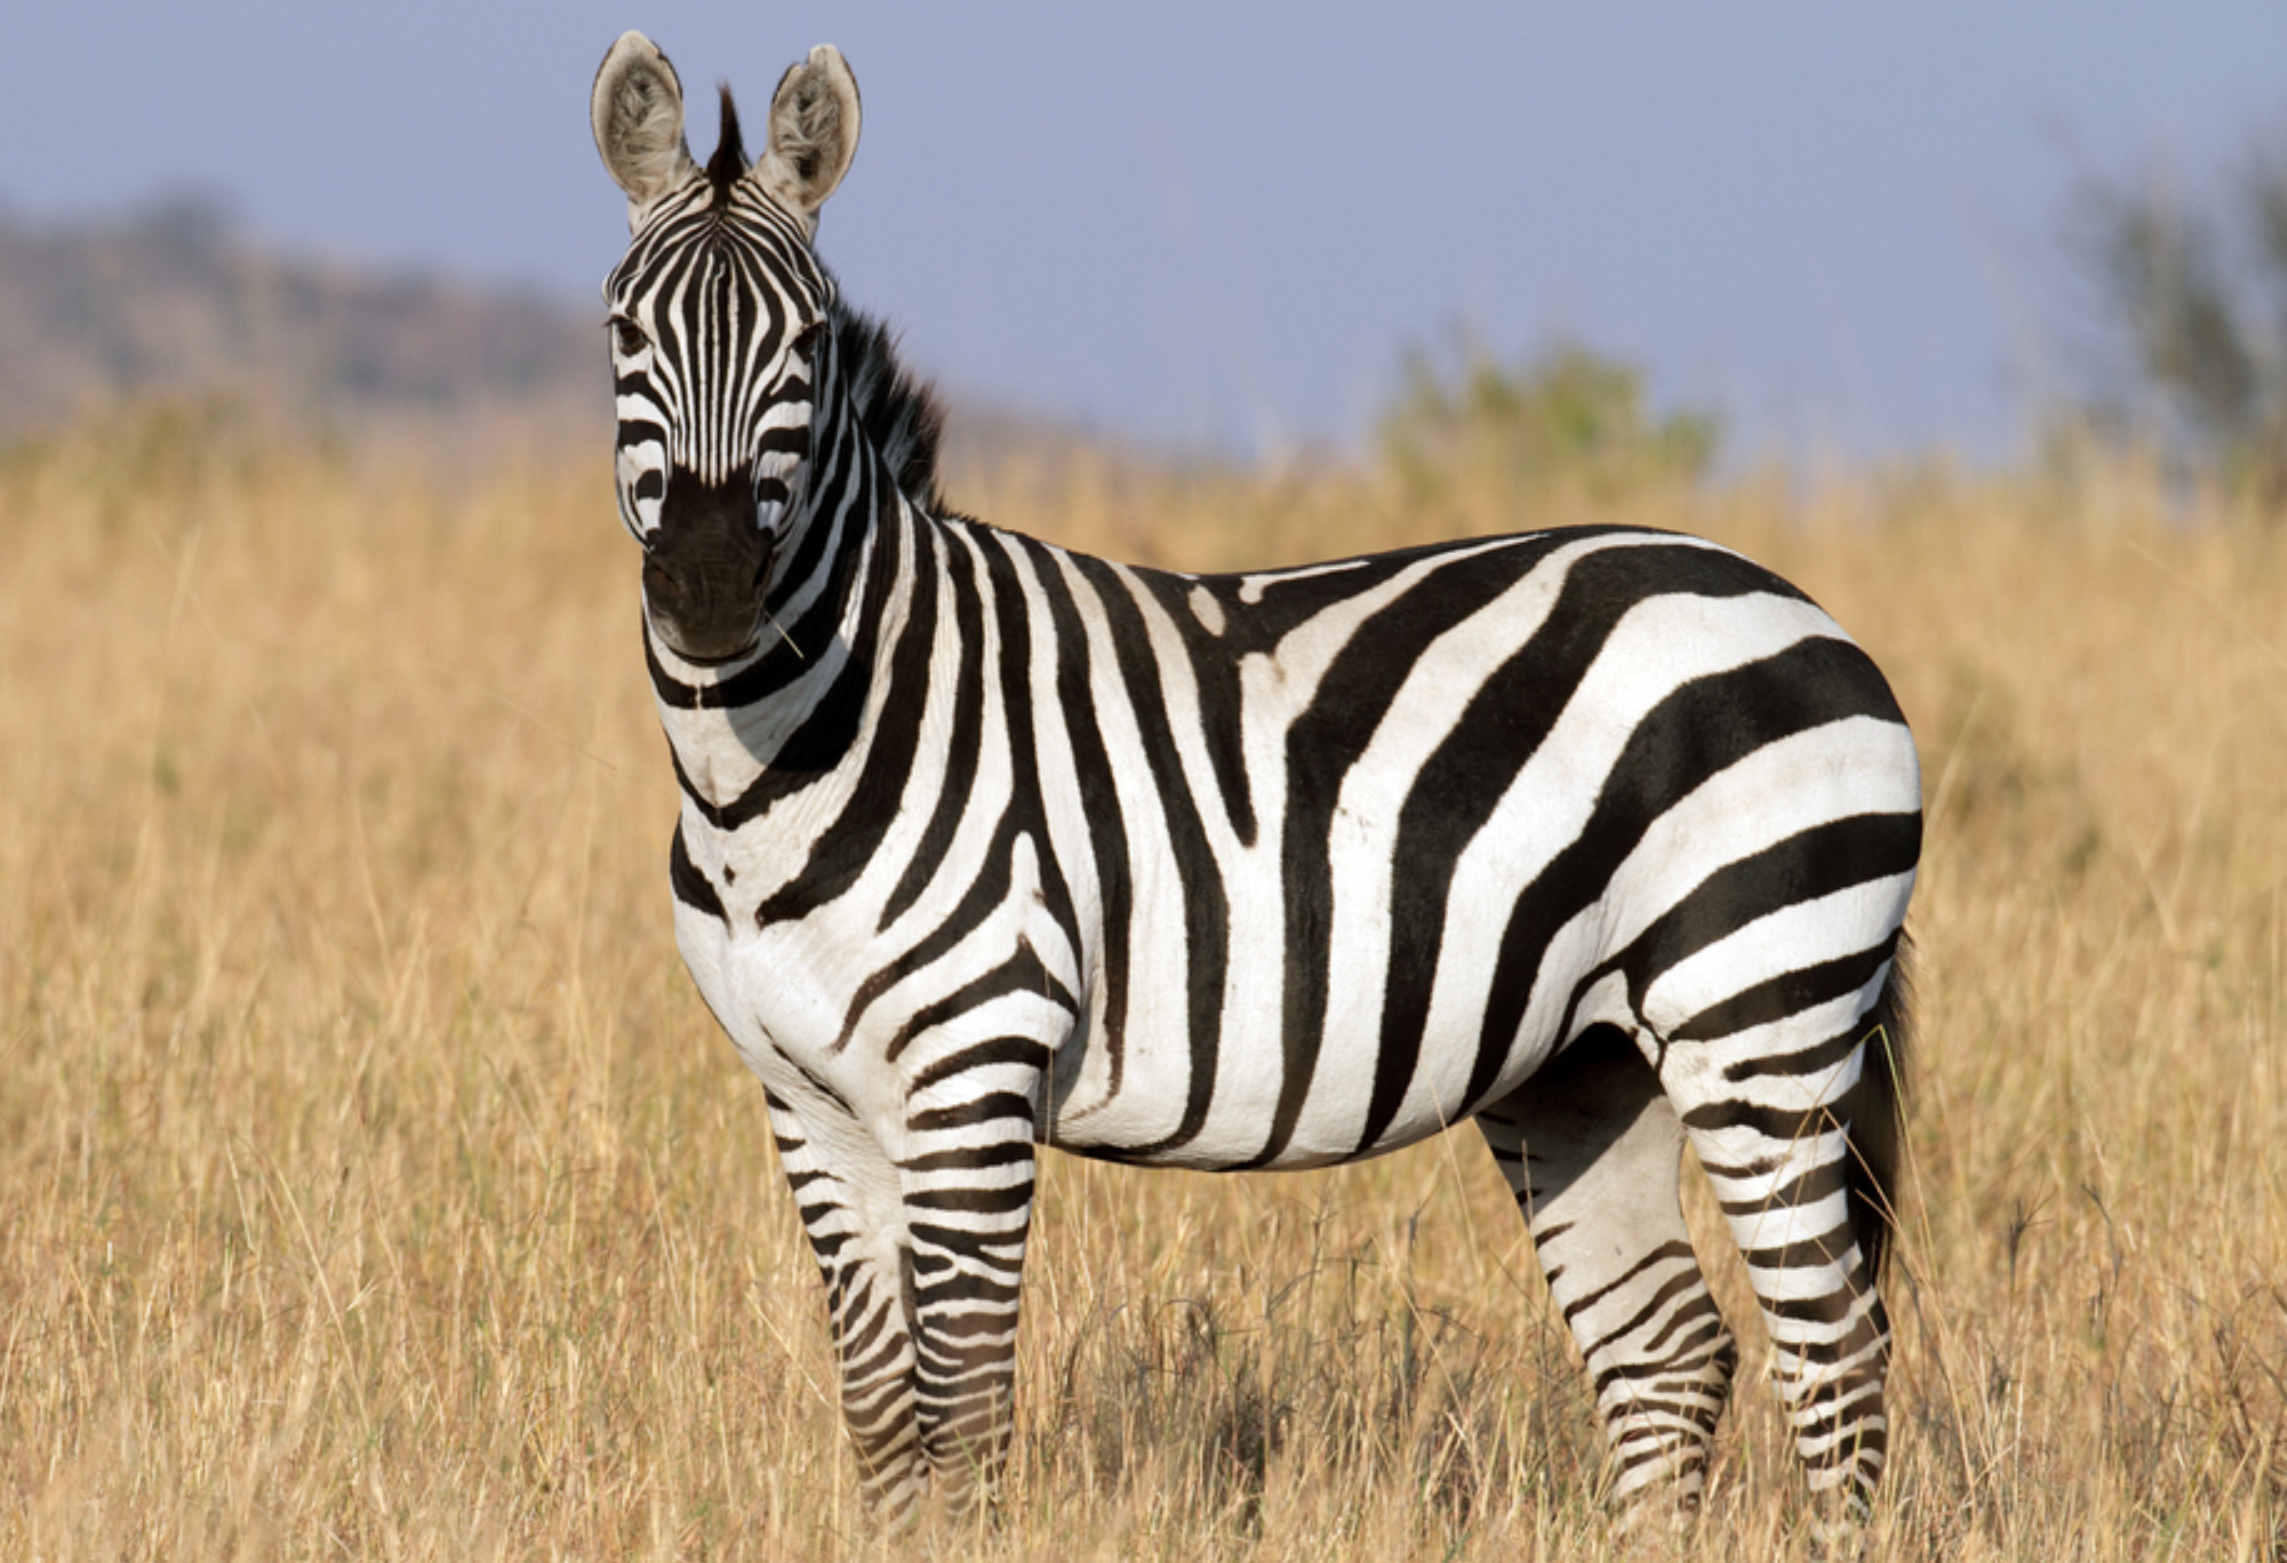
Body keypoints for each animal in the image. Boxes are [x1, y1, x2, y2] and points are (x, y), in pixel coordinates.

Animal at [585, 30, 1911, 1546]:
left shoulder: (973, 1066)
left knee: (1832, 1354)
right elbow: (879, 1416)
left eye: (803, 346)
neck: (783, 772)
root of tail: (1800, 605)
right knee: (1669, 1350)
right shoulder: (805, 1099)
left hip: (1757, 1015)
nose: (706, 593)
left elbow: (960, 1413)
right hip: (1584, 1057)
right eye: (624, 333)